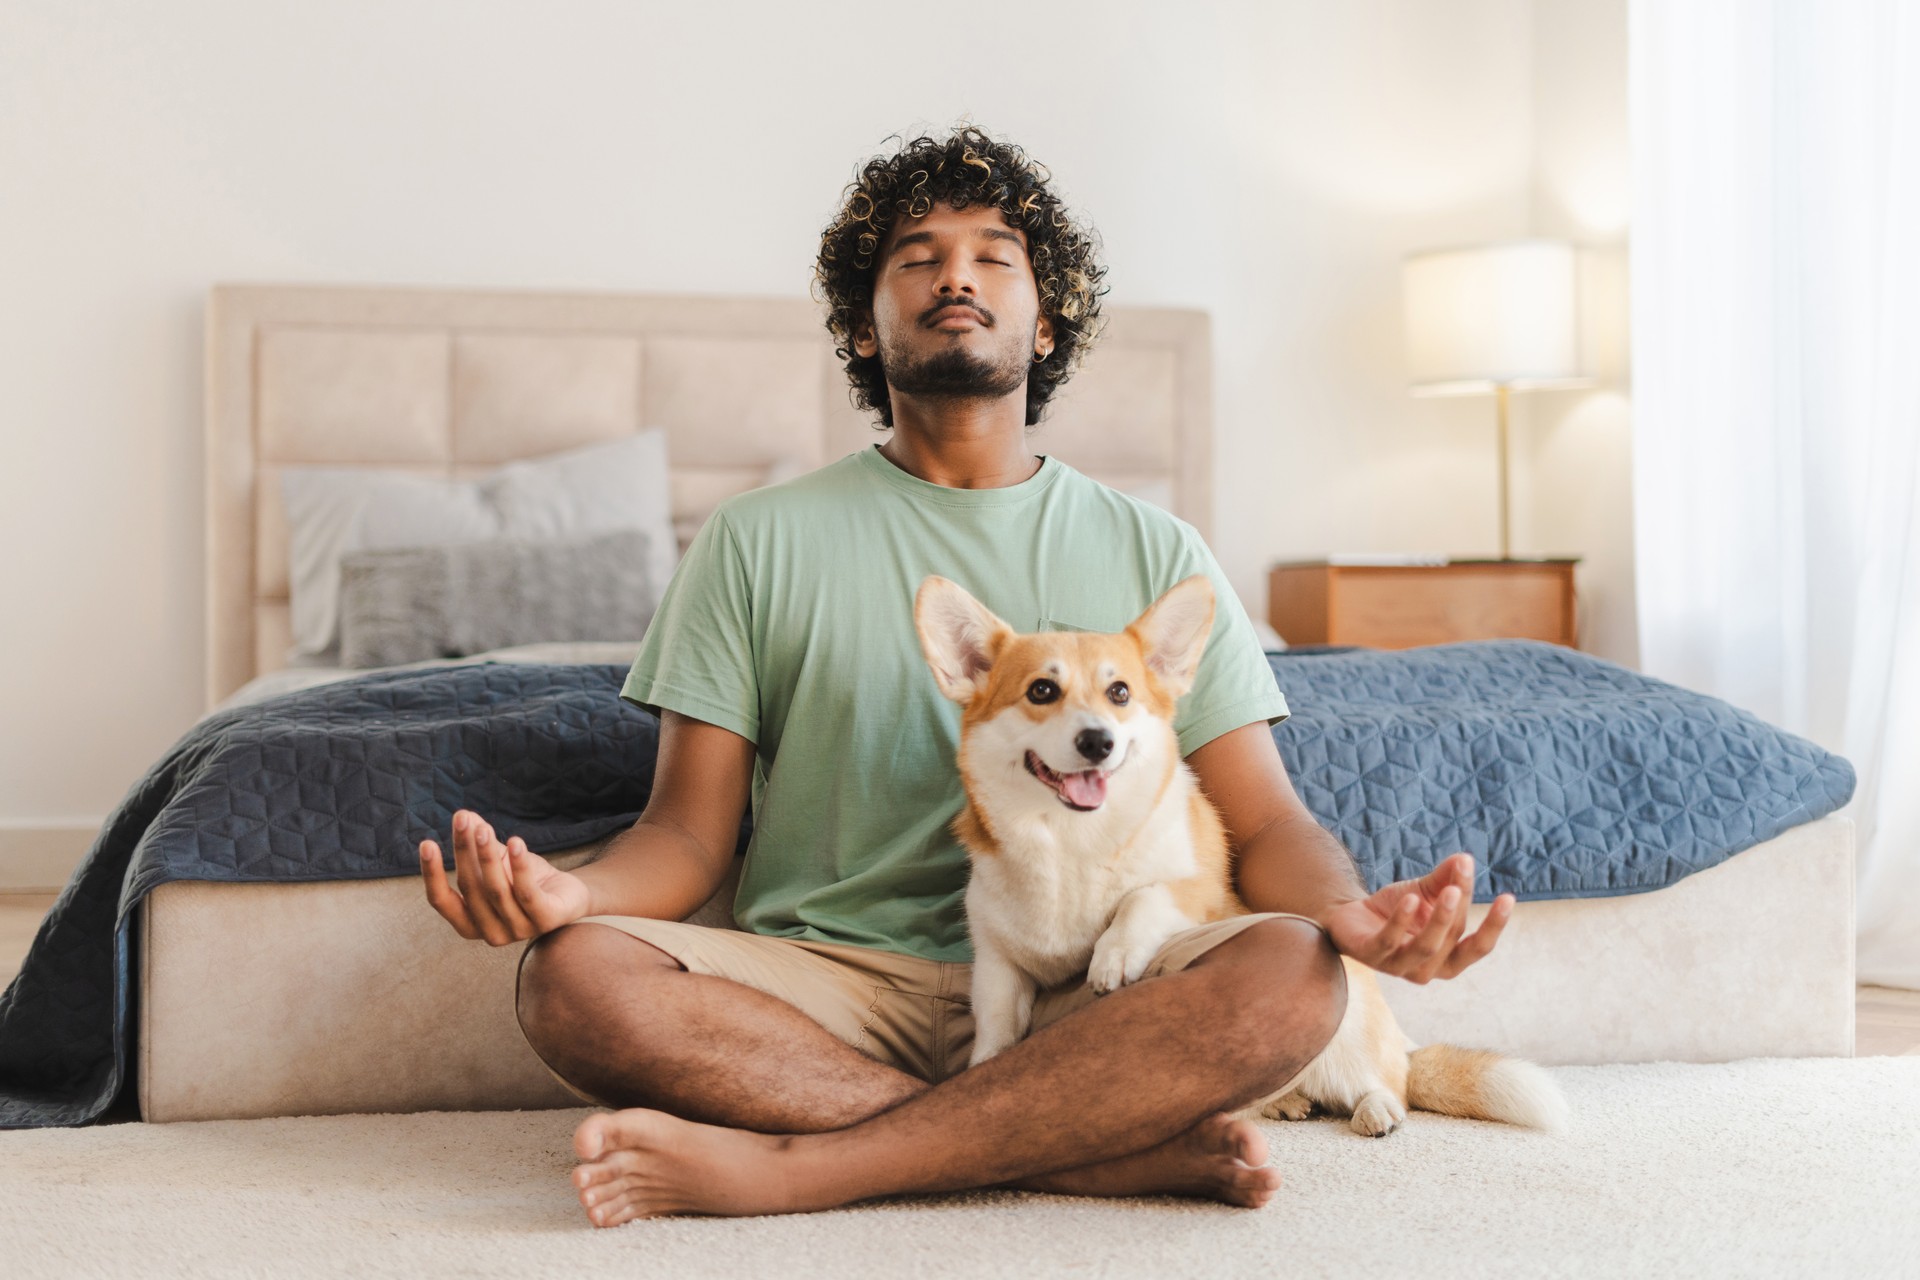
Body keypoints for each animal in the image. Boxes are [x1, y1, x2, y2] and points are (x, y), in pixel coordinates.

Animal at [910, 575, 1559, 1136]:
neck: (1071, 839)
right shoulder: (999, 967)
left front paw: (1112, 956)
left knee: (1386, 1085)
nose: (1098, 741)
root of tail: (1403, 1046)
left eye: (1120, 693)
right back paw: (1284, 1105)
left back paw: (1375, 1111)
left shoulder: (1195, 889)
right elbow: (996, 1031)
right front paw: (982, 1072)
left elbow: (1144, 898)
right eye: (1041, 691)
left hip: (1348, 1035)